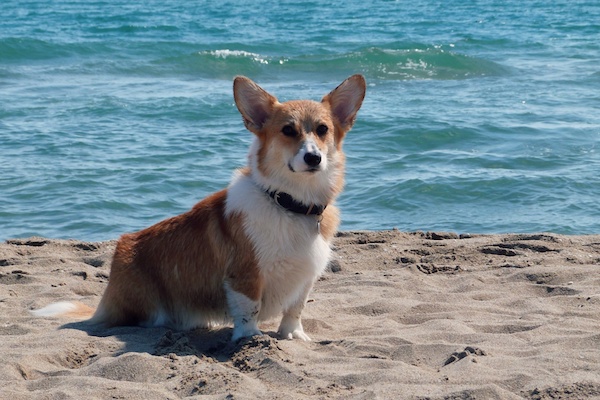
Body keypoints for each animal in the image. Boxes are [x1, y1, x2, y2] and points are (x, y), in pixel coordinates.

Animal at [35, 74, 368, 340]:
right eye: (288, 131)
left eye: (322, 129)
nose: (313, 158)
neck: (288, 202)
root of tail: (105, 302)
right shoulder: (244, 276)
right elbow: (249, 309)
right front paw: (250, 339)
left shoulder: (305, 277)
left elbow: (294, 310)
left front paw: (293, 336)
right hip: (147, 306)